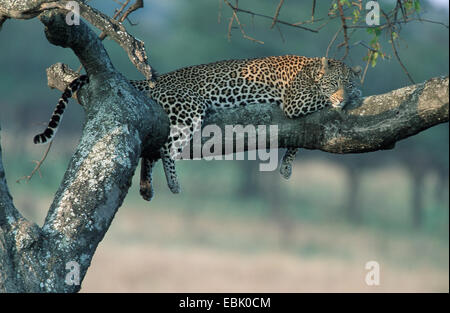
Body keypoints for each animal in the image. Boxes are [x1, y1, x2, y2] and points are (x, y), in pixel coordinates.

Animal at [32, 54, 362, 200]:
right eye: (334, 84)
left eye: (347, 82)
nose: (343, 96)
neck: (314, 70)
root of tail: (160, 80)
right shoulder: (296, 101)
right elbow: (317, 100)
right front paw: (350, 99)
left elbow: (296, 143)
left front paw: (286, 166)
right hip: (189, 108)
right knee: (166, 147)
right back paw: (172, 183)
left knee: (151, 151)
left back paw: (146, 187)